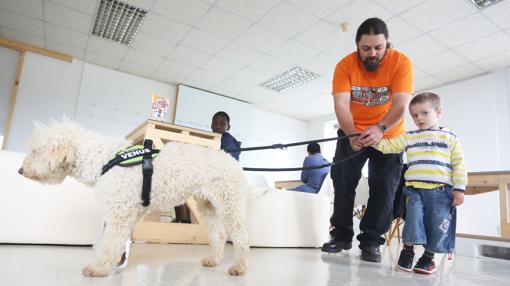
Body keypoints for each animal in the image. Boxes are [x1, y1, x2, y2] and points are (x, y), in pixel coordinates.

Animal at [18, 119, 250, 276]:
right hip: (207, 206)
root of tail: (232, 160)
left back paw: (240, 266)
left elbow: (110, 241)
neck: (101, 159)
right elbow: (118, 240)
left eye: (35, 151)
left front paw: (99, 268)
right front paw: (117, 260)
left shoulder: (120, 211)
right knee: (219, 235)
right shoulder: (133, 210)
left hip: (229, 204)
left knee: (241, 236)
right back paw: (213, 260)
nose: (20, 170)